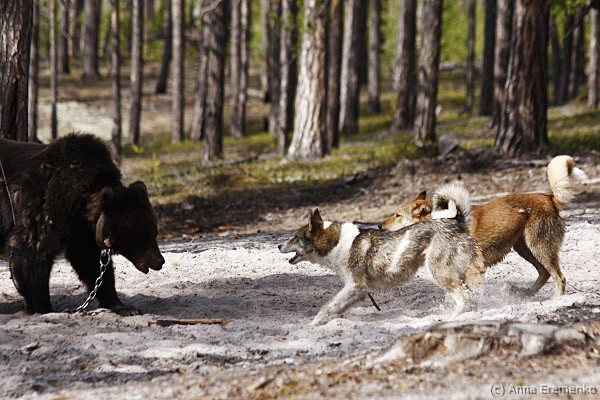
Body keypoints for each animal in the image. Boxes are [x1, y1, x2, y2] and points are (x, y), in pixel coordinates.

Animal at [0, 133, 165, 315]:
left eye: (154, 231)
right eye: (142, 235)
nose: (160, 261)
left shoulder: (81, 232)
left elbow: (91, 264)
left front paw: (122, 305)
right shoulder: (43, 207)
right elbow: (32, 252)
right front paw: (42, 307)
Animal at [279, 182, 473, 326]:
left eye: (295, 237)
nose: (279, 245)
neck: (338, 243)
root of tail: (456, 221)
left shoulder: (356, 287)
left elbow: (328, 307)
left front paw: (313, 324)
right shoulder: (355, 290)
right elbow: (335, 308)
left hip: (438, 271)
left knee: (464, 298)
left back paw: (450, 318)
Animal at [379, 155, 588, 297]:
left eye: (397, 215)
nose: (380, 226)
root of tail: (549, 198)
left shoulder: (474, 270)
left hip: (539, 248)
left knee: (559, 277)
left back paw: (556, 300)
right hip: (525, 249)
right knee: (544, 274)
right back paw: (527, 294)